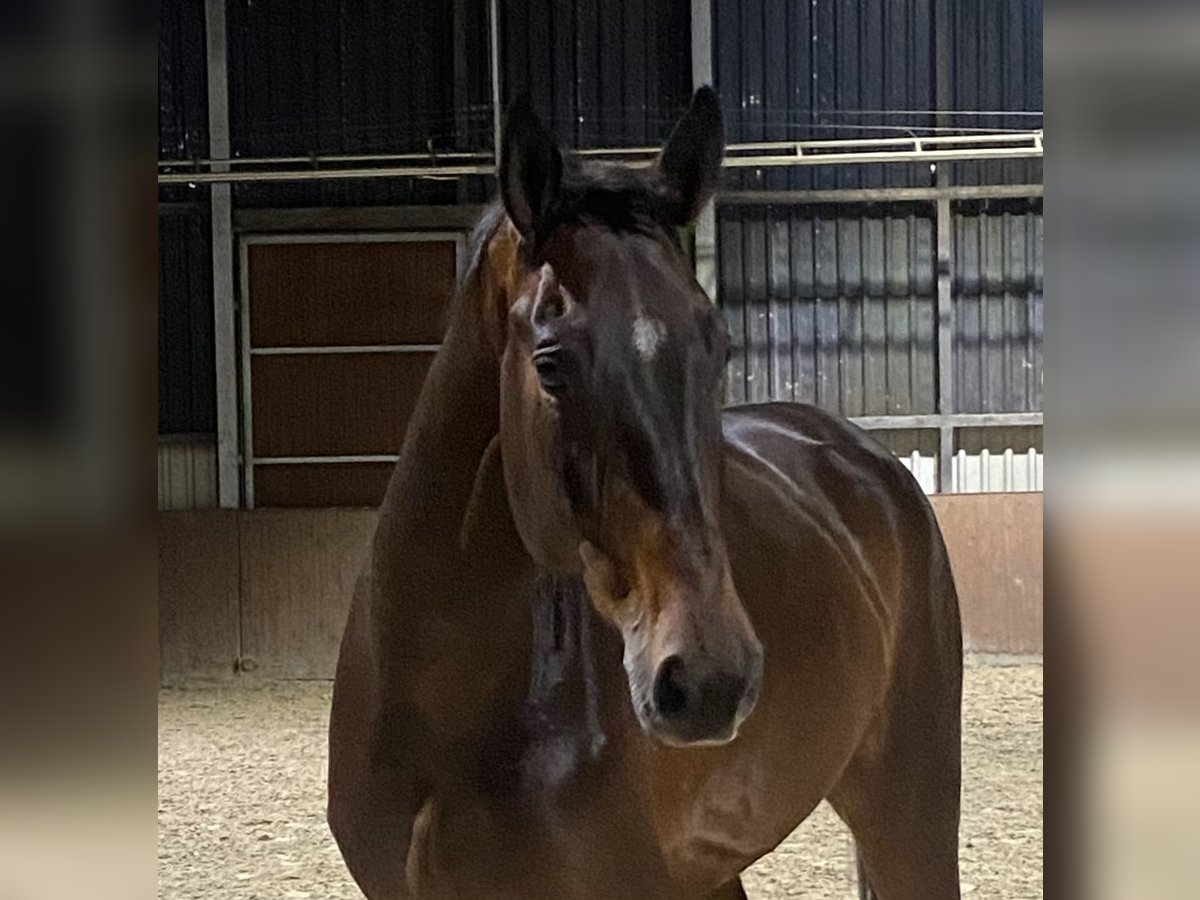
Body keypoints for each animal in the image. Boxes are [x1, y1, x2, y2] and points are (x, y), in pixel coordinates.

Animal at [328, 90, 964, 900]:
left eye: (719, 347)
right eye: (550, 362)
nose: (710, 678)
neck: (443, 706)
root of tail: (866, 464)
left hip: (908, 818)